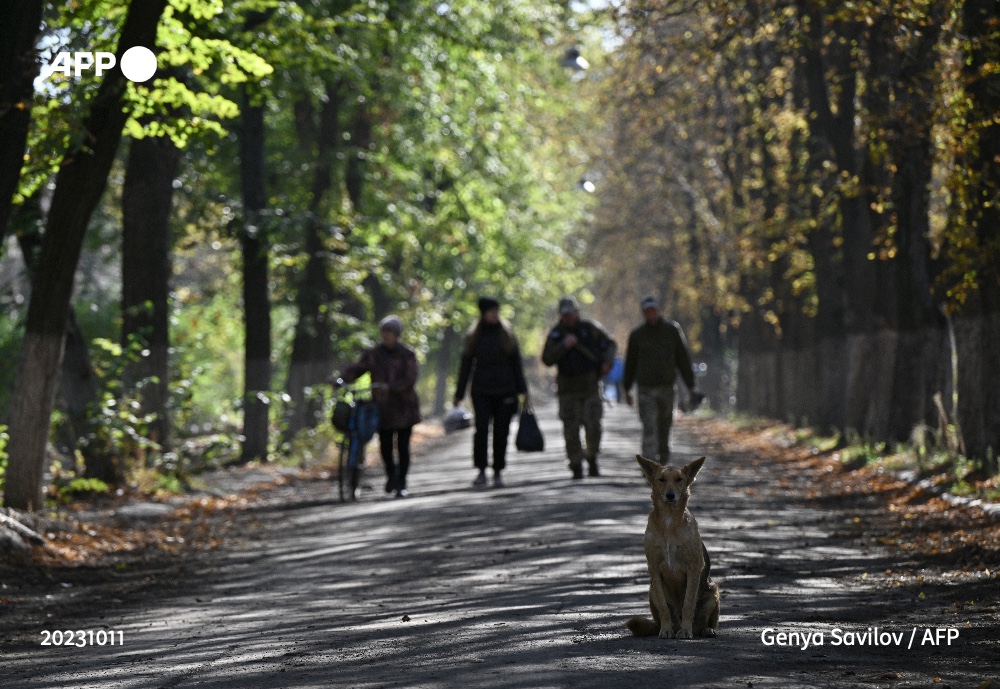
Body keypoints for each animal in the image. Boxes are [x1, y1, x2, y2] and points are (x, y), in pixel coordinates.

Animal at [624, 454, 720, 636]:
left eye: (679, 479)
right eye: (661, 479)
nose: (670, 495)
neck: (669, 522)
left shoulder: (694, 567)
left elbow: (688, 604)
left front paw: (685, 631)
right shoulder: (654, 568)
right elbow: (664, 607)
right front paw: (666, 630)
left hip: (713, 592)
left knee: (703, 623)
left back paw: (704, 629)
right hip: (652, 590)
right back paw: (669, 628)